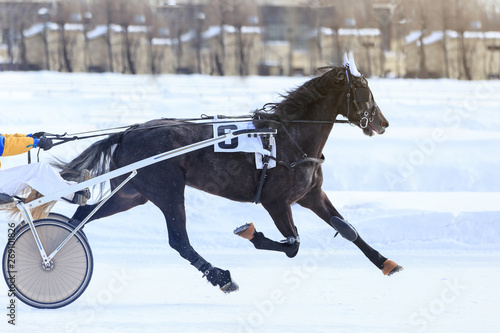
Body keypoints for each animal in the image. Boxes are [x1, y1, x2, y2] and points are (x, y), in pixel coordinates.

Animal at [57, 65, 402, 294]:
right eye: (364, 92)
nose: (383, 123)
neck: (290, 138)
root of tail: (127, 133)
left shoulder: (311, 195)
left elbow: (347, 229)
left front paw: (386, 262)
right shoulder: (276, 202)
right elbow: (292, 245)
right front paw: (249, 232)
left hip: (131, 193)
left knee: (81, 217)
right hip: (168, 191)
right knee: (179, 241)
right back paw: (221, 277)